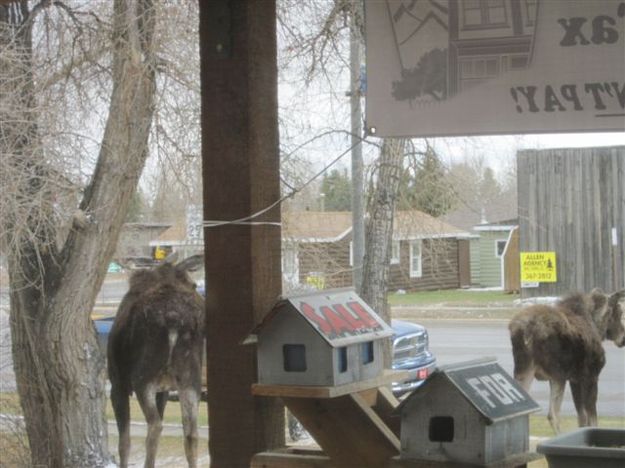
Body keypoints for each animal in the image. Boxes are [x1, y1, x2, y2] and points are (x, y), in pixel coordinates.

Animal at [108, 254, 205, 466]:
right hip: (190, 379)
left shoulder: (117, 384)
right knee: (191, 433)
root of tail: (175, 320)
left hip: (142, 378)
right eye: (193, 284)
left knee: (155, 426)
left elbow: (124, 443)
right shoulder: (164, 389)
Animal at [510, 288, 620, 436]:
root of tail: (524, 330)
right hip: (557, 374)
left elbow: (582, 417)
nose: (622, 338)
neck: (597, 326)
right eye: (619, 312)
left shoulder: (575, 379)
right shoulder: (591, 376)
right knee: (552, 414)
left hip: (527, 371)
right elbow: (592, 419)